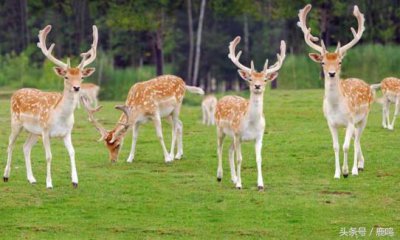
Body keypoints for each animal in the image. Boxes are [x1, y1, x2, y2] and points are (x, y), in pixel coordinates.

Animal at [2, 24, 98, 189]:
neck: (60, 117)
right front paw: (49, 183)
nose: (77, 88)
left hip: (34, 131)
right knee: (10, 144)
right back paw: (6, 176)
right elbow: (48, 156)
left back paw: (32, 179)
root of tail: (15, 93)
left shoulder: (67, 133)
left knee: (25, 147)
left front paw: (75, 181)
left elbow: (72, 152)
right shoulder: (46, 131)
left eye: (82, 77)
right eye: (66, 76)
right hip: (16, 123)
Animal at [214, 36, 286, 190]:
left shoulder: (259, 137)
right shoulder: (238, 135)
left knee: (229, 150)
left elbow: (258, 159)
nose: (257, 86)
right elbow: (240, 159)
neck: (251, 124)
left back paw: (233, 178)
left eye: (265, 79)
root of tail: (223, 97)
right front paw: (240, 185)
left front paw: (260, 184)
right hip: (220, 129)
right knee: (219, 148)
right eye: (250, 79)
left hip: (232, 136)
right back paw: (220, 176)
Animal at [296, 4, 378, 179]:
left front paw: (347, 171)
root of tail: (368, 85)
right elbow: (336, 146)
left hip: (364, 117)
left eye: (339, 62)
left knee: (356, 140)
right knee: (355, 139)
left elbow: (346, 146)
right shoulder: (331, 123)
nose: (332, 73)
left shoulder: (350, 121)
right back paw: (360, 164)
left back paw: (357, 168)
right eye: (323, 62)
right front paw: (337, 173)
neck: (336, 107)